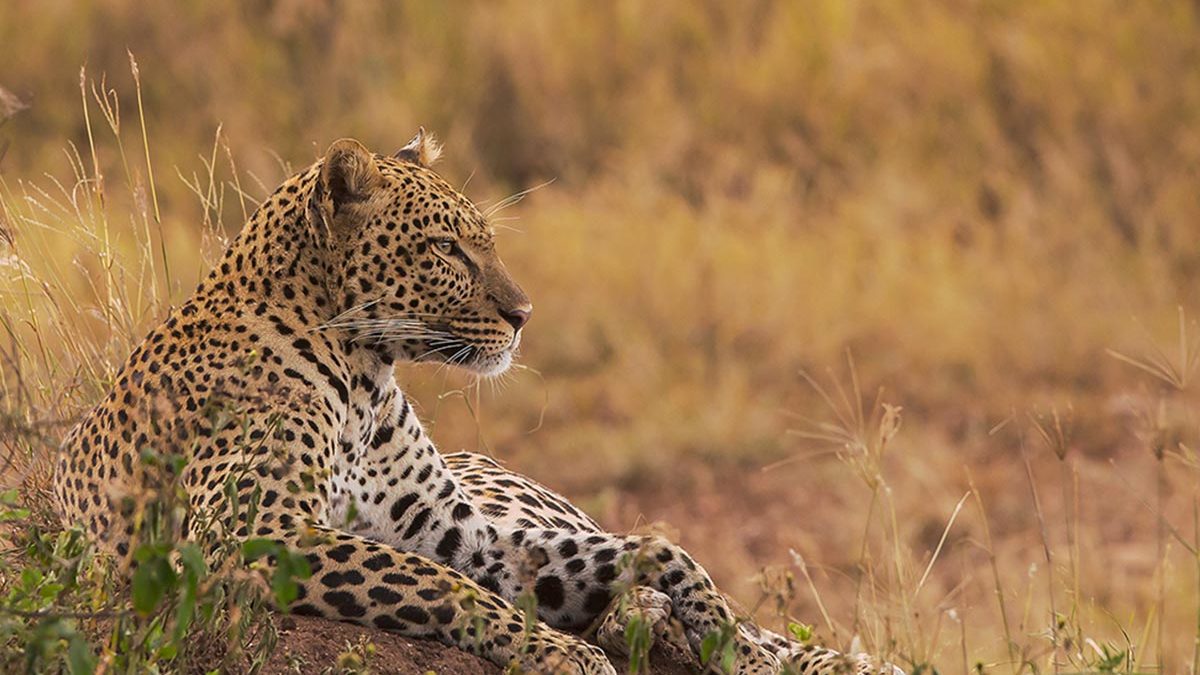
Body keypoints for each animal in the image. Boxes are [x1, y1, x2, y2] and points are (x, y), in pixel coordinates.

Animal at [56, 131, 902, 672]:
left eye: (484, 242)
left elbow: (657, 548)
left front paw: (732, 642)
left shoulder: (459, 530)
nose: (525, 314)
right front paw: (561, 653)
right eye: (445, 250)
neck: (364, 380)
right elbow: (433, 582)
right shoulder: (252, 531)